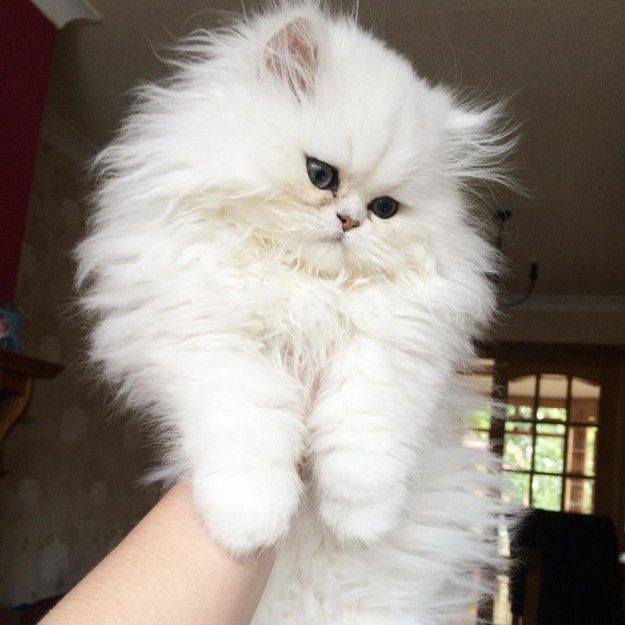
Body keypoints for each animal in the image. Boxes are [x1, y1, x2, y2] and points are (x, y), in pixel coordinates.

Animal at [78, 2, 516, 620]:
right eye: (320, 175)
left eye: (386, 209)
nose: (349, 220)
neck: (305, 283)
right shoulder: (210, 340)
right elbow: (251, 428)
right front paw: (248, 524)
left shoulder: (397, 349)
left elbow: (366, 431)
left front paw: (363, 520)